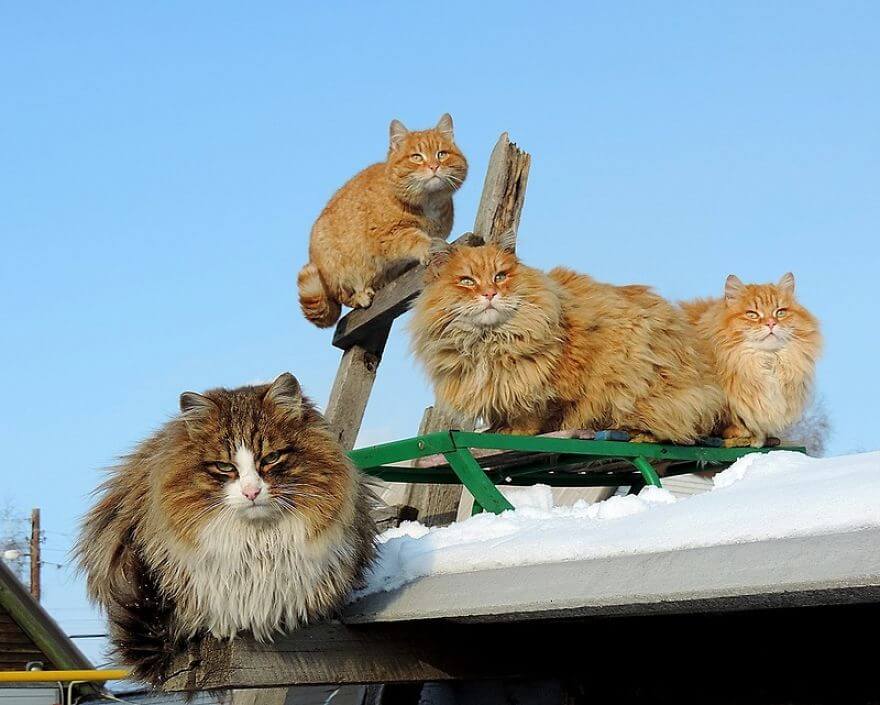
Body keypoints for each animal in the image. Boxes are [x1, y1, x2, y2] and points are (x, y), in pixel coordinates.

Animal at [300, 113, 468, 328]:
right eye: (416, 157)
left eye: (441, 154)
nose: (434, 166)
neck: (428, 202)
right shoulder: (389, 235)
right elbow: (416, 239)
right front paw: (428, 248)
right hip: (335, 266)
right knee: (344, 296)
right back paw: (361, 295)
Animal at [408, 236, 720, 446]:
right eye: (467, 281)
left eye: (500, 276)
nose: (489, 294)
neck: (490, 341)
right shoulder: (498, 390)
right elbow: (502, 411)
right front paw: (498, 429)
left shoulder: (550, 387)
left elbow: (534, 413)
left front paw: (516, 431)